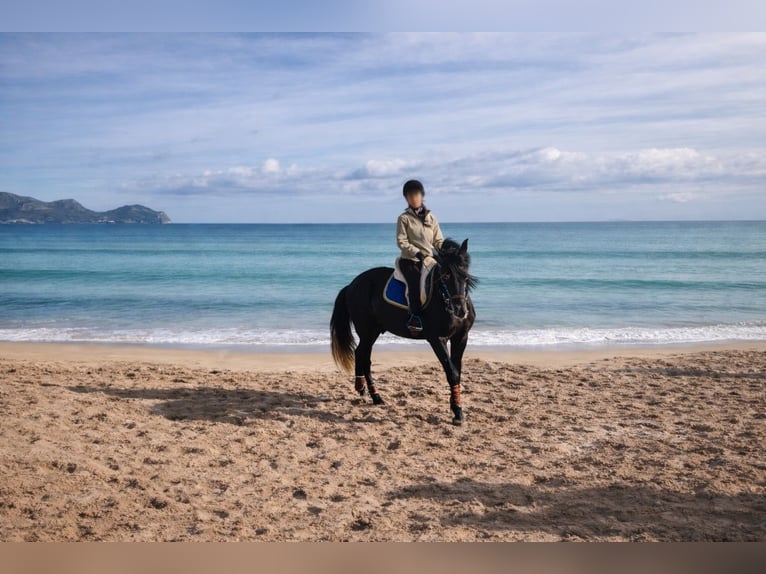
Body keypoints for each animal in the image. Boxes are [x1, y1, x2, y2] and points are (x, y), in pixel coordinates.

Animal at [330, 238, 477, 425]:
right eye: (446, 275)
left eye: (465, 275)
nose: (460, 310)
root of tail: (351, 285)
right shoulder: (437, 339)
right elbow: (451, 372)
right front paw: (457, 411)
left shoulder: (461, 337)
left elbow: (457, 371)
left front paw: (455, 404)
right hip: (367, 331)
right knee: (364, 357)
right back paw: (375, 396)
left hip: (374, 331)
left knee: (360, 353)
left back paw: (362, 389)